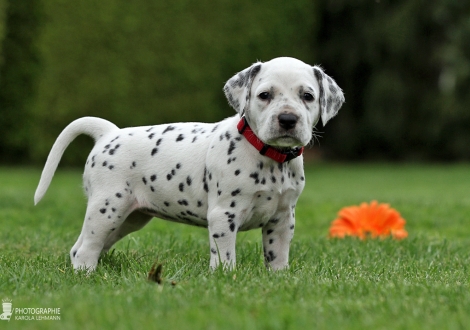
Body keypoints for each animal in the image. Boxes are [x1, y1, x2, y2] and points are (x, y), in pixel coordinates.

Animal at [33, 57, 342, 274]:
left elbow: (277, 255)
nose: (288, 119)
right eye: (265, 95)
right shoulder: (223, 216)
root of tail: (109, 133)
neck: (267, 155)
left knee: (85, 246)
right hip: (107, 208)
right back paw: (86, 275)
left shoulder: (282, 218)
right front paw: (226, 278)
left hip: (128, 218)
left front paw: (279, 277)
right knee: (85, 248)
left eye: (308, 96)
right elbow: (225, 256)